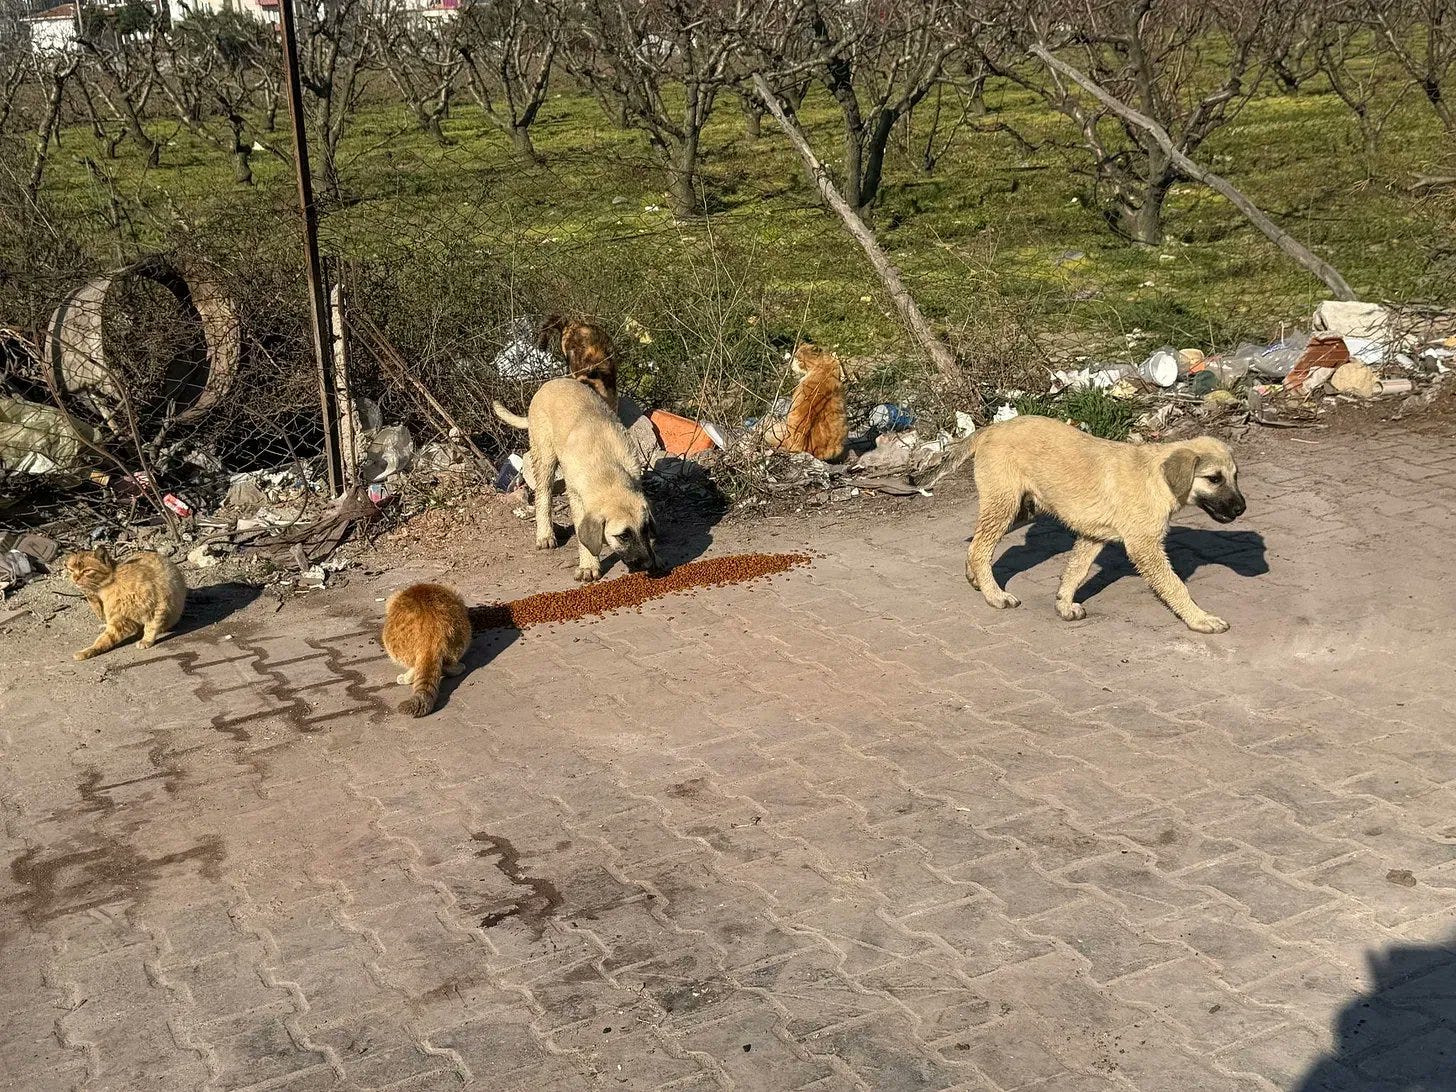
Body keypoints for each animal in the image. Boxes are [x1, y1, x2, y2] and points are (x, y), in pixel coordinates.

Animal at [493, 377, 659, 582]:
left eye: (645, 529)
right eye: (623, 536)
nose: (648, 565)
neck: (606, 469)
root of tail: (550, 383)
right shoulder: (576, 497)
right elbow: (583, 537)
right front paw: (589, 565)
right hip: (545, 456)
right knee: (543, 496)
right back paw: (545, 535)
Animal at [924, 415, 1246, 632]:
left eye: (1235, 476)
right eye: (1214, 478)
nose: (1242, 508)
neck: (1157, 479)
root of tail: (993, 428)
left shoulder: (1094, 536)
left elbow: (1076, 572)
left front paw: (1064, 604)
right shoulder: (1145, 547)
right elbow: (1174, 585)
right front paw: (1199, 619)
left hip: (1022, 508)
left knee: (979, 543)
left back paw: (975, 578)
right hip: (1005, 503)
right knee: (981, 548)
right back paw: (995, 595)